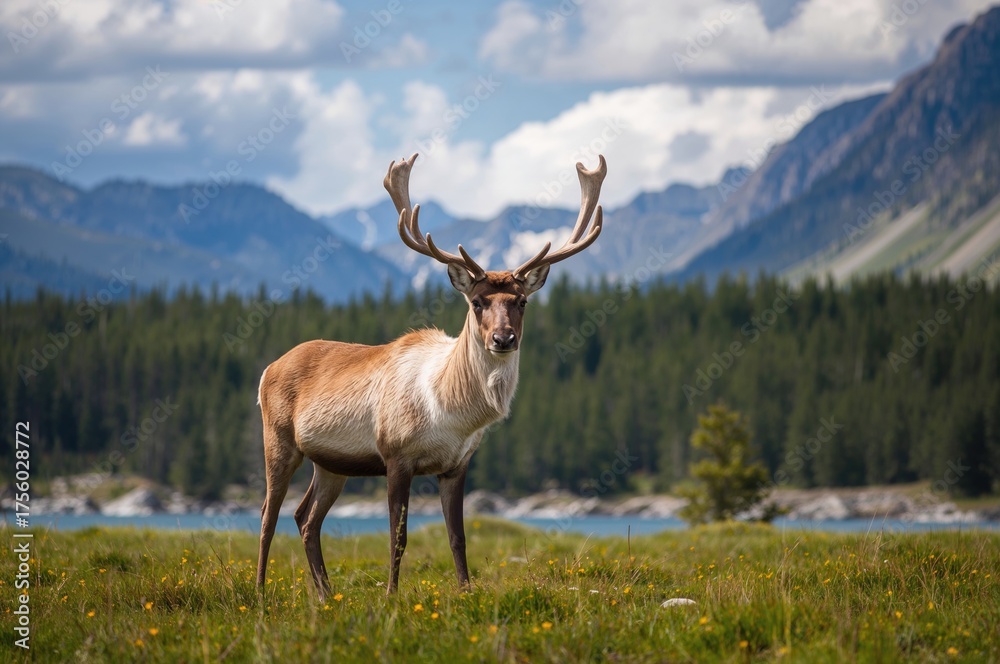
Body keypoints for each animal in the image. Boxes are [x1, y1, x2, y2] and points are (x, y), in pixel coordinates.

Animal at [256, 152, 607, 599]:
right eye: (477, 302)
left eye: (522, 301)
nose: (503, 338)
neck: (451, 414)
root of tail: (267, 369)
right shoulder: (395, 454)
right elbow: (398, 536)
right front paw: (391, 595)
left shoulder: (456, 464)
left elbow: (458, 537)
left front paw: (467, 592)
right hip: (278, 439)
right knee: (268, 514)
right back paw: (260, 592)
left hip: (331, 463)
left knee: (305, 518)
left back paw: (326, 595)